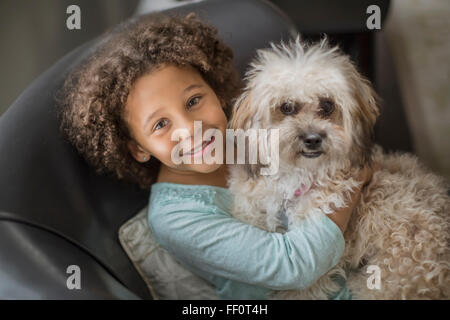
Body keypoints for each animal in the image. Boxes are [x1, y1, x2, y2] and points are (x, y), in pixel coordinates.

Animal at [229, 37, 450, 300]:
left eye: (327, 105)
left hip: (385, 280)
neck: (297, 174)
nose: (313, 139)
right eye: (286, 107)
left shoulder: (320, 255)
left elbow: (301, 289)